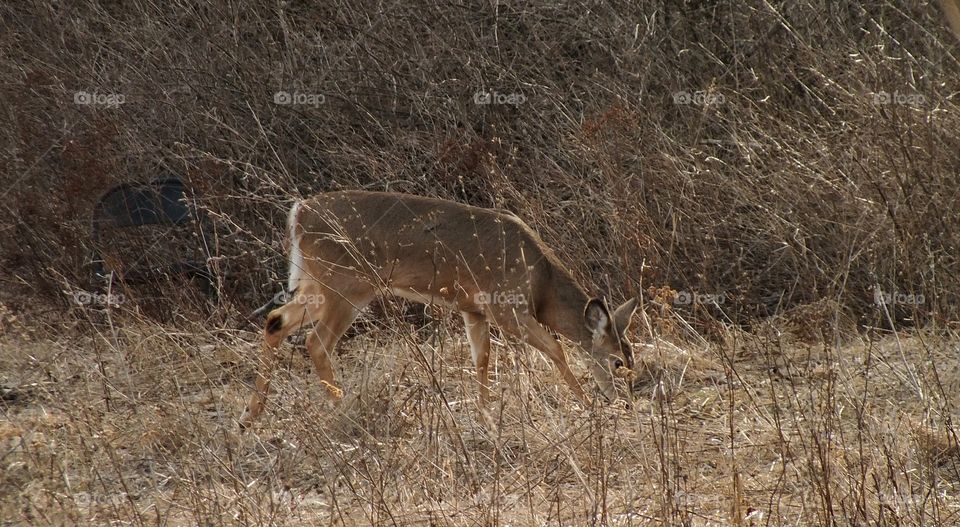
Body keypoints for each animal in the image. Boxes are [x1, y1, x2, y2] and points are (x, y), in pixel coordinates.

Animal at [240, 192, 636, 426]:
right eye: (618, 361)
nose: (627, 401)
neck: (541, 282)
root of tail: (298, 212)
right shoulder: (506, 306)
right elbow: (556, 348)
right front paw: (587, 403)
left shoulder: (473, 308)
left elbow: (481, 357)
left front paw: (485, 413)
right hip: (347, 284)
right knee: (317, 342)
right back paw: (344, 408)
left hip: (317, 284)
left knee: (276, 320)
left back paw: (250, 415)